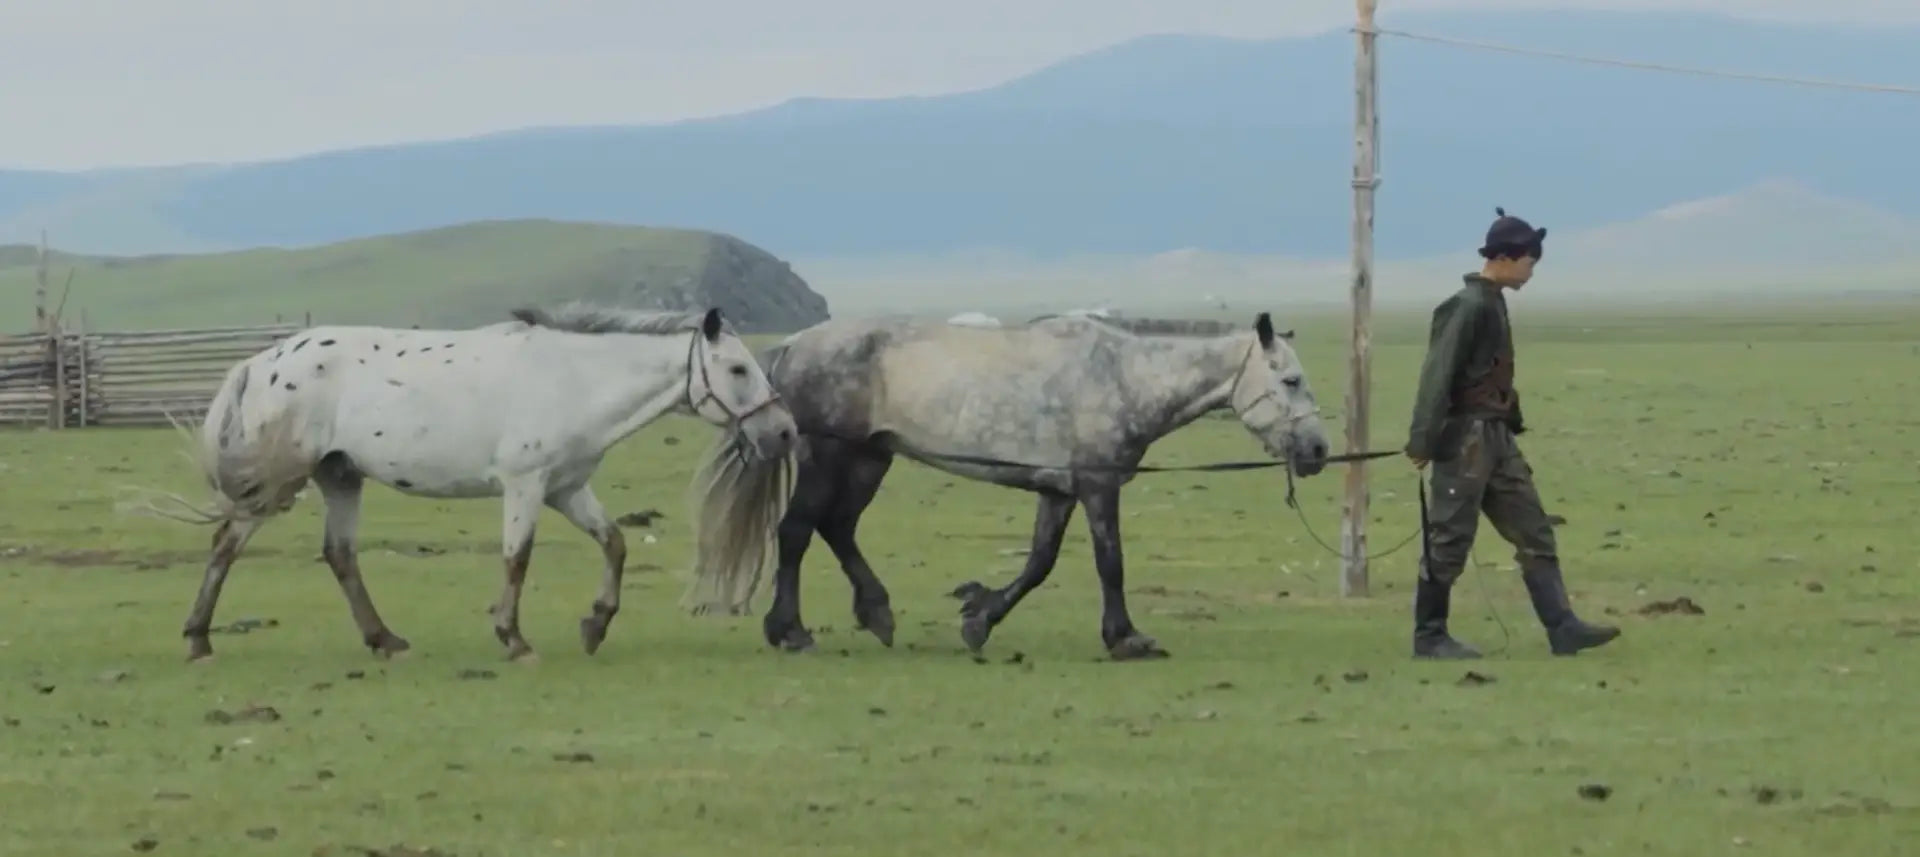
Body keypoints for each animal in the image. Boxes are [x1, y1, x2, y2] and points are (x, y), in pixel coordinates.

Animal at [127, 303, 798, 663]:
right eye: (739, 369)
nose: (785, 432)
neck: (574, 377)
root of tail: (260, 361)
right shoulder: (526, 485)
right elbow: (517, 558)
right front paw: (515, 639)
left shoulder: (566, 488)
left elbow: (615, 543)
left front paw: (595, 625)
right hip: (280, 481)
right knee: (226, 544)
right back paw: (198, 640)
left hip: (341, 477)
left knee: (340, 555)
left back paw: (385, 640)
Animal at [679, 310, 1331, 661]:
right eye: (1291, 380)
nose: (1320, 450)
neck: (1124, 378)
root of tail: (795, 345)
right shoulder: (1098, 487)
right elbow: (1110, 564)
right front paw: (1126, 638)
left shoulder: (1059, 491)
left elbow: (1039, 563)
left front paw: (979, 618)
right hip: (829, 456)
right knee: (797, 531)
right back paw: (790, 631)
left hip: (869, 458)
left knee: (836, 528)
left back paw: (877, 612)